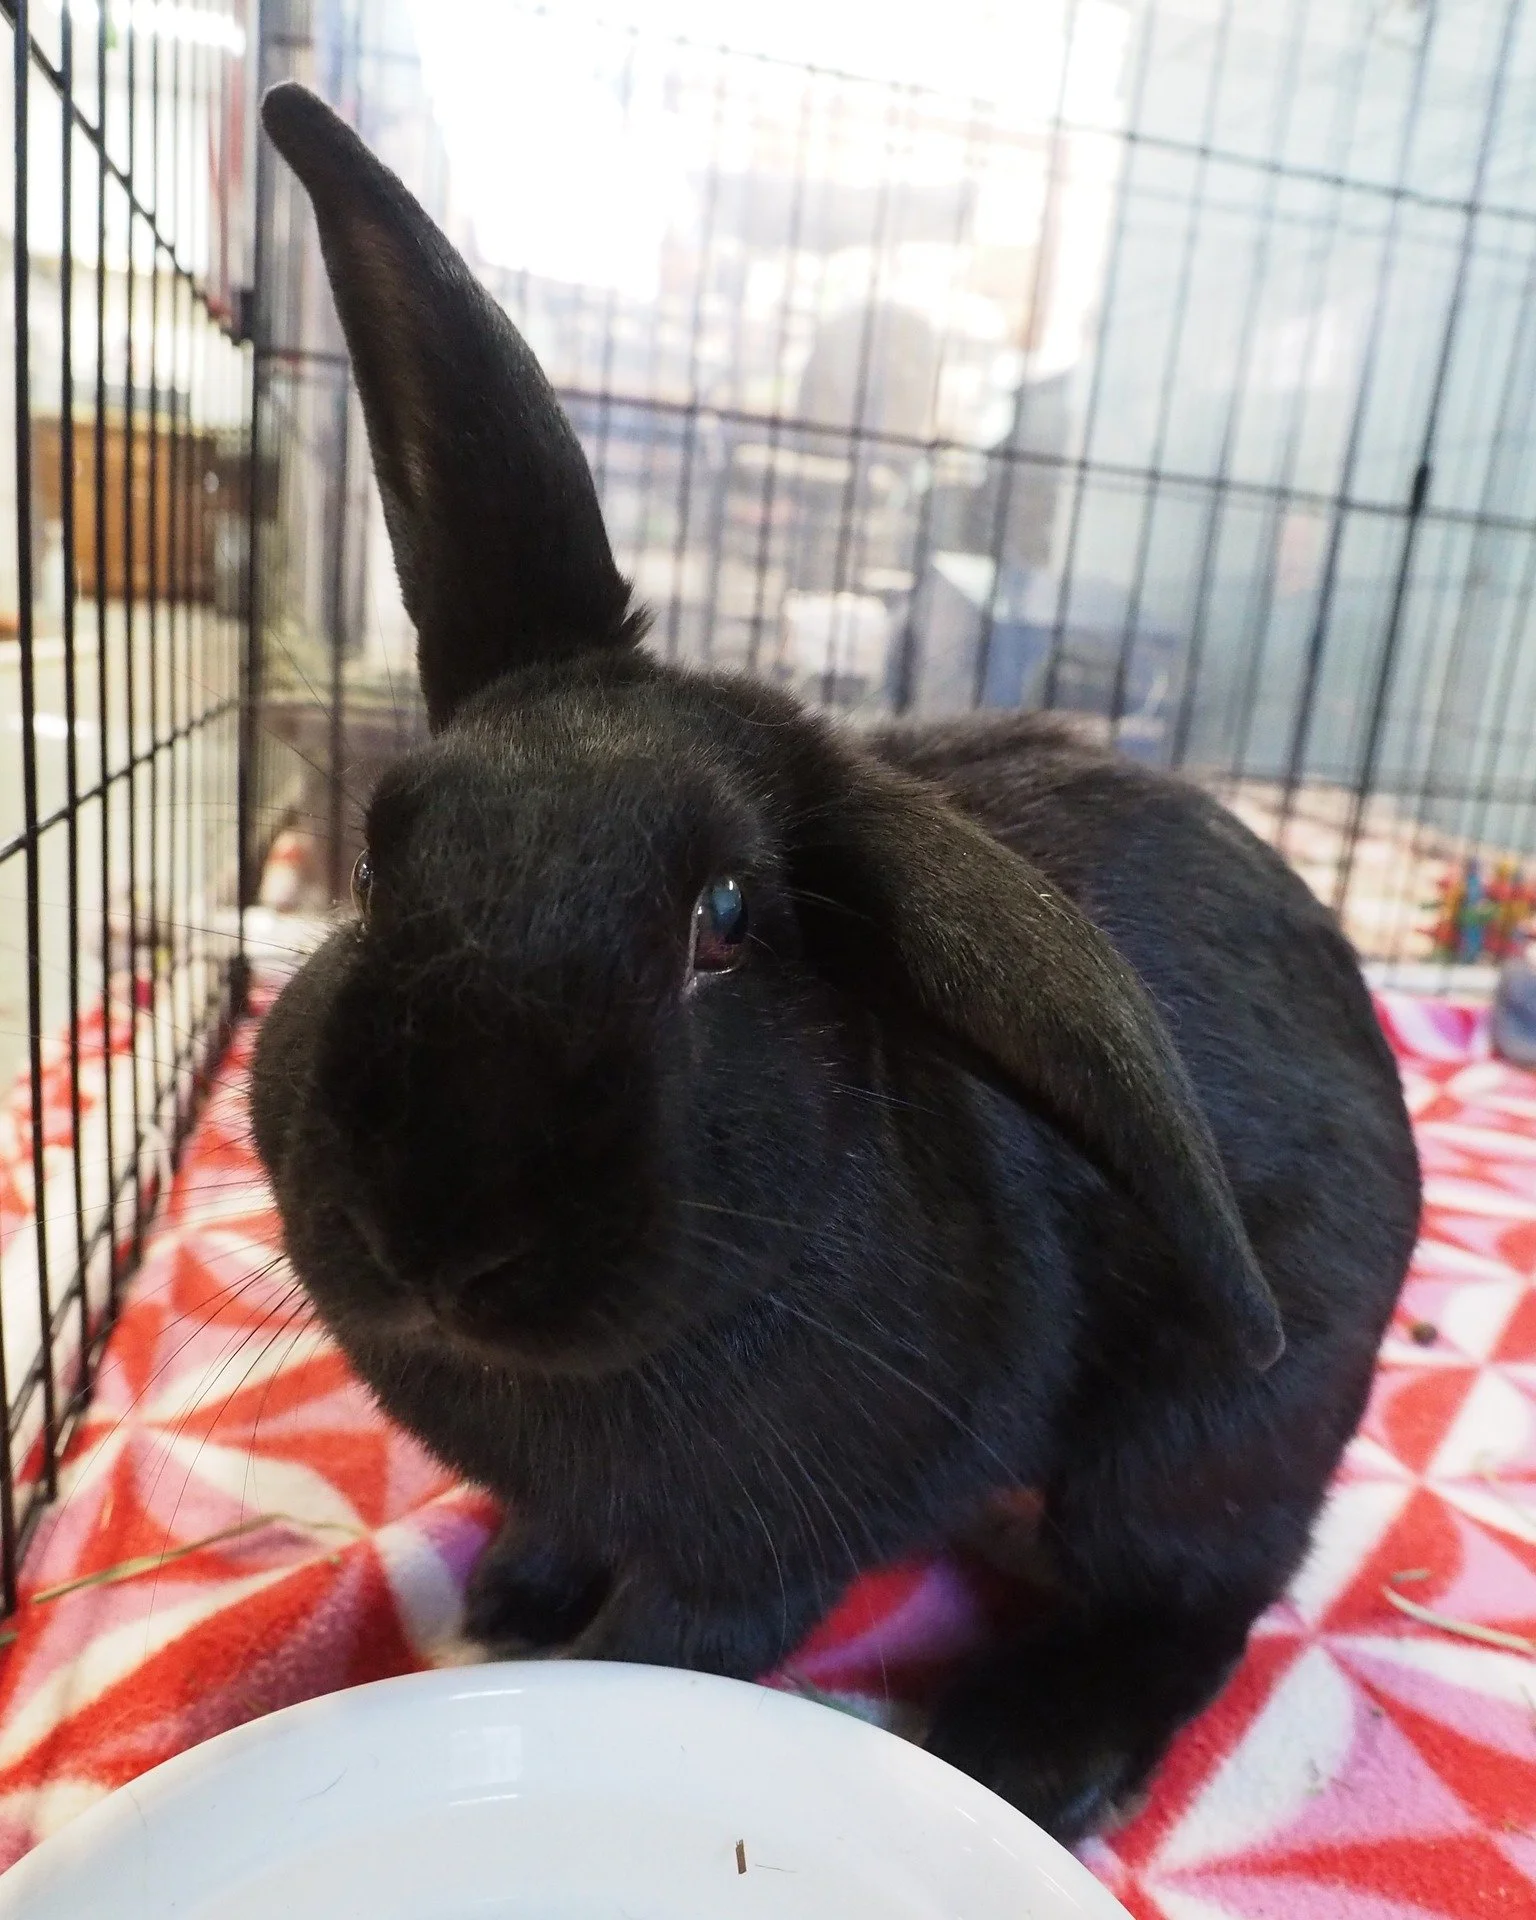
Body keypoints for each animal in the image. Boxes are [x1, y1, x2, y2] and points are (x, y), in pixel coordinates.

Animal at [251, 82, 1422, 1844]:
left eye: (726, 919)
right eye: (381, 857)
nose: (439, 1231)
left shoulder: (773, 1547)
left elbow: (676, 1643)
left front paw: (572, 1648)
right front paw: (516, 1591)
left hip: (1201, 1436)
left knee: (1201, 1593)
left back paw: (1030, 1753)